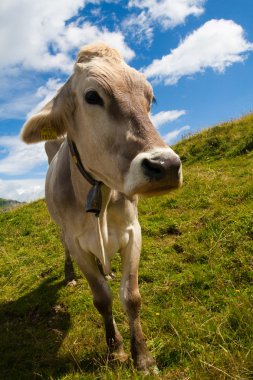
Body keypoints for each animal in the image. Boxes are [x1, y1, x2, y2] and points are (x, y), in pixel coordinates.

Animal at [20, 43, 182, 372]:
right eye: (92, 96)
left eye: (150, 98)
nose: (166, 166)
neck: (101, 196)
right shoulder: (78, 242)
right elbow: (102, 299)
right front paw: (116, 349)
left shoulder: (133, 232)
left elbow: (131, 297)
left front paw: (143, 356)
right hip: (61, 230)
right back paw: (70, 275)